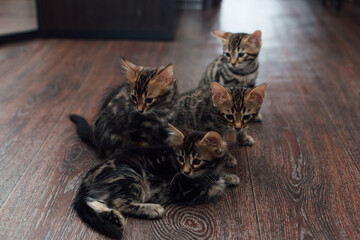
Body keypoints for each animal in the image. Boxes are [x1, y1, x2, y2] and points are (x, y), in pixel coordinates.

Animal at [73, 124, 239, 239]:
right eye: (181, 158)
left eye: (197, 161)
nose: (185, 171)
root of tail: (88, 177)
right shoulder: (183, 189)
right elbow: (214, 186)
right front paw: (221, 181)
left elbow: (218, 175)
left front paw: (229, 176)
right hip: (132, 176)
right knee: (118, 201)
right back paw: (152, 209)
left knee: (94, 201)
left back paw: (115, 218)